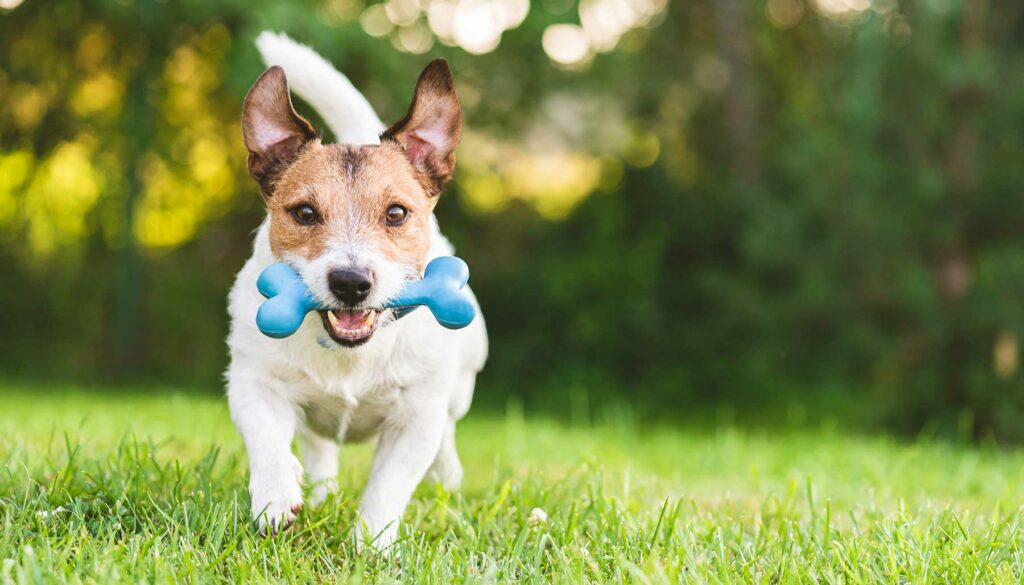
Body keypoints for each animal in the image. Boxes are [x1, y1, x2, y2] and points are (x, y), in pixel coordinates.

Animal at [227, 33, 487, 549]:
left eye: (397, 213)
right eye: (305, 213)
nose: (350, 283)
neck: (350, 353)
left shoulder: (415, 418)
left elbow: (389, 483)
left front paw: (373, 543)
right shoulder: (251, 381)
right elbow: (266, 438)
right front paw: (275, 496)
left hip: (460, 386)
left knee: (447, 434)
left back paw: (447, 478)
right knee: (317, 444)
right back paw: (318, 487)